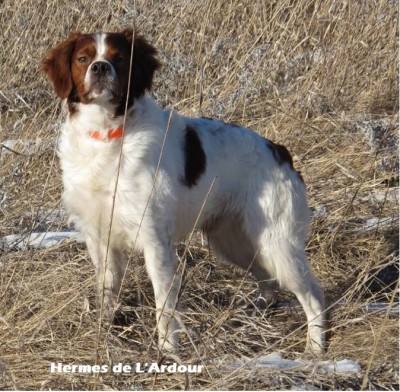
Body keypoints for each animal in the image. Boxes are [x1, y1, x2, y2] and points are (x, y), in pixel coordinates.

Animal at [43, 29, 324, 354]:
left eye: (120, 58)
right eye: (83, 58)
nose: (100, 68)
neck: (106, 136)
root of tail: (279, 151)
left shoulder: (155, 241)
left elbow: (164, 304)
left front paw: (168, 350)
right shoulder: (101, 238)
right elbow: (107, 290)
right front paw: (104, 332)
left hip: (276, 243)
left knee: (314, 295)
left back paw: (315, 346)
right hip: (234, 241)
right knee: (269, 282)